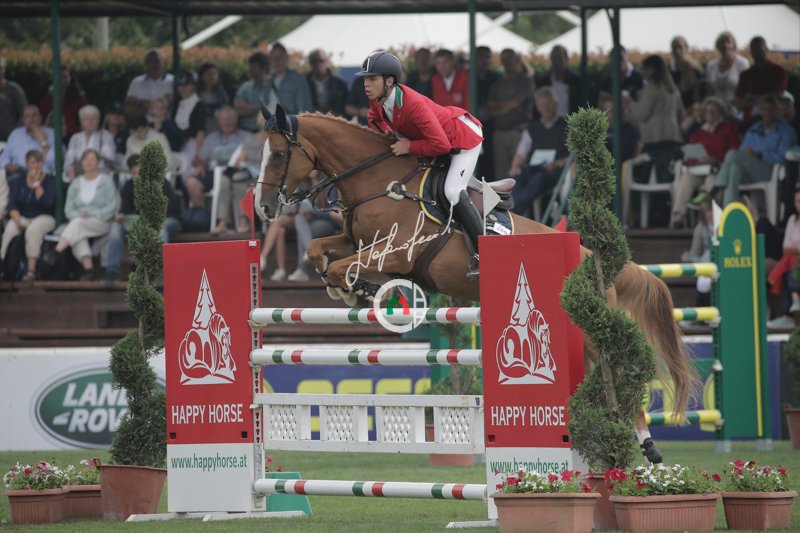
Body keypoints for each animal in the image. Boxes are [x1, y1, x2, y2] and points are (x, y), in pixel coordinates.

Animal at [255, 105, 696, 463]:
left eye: (278, 154)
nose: (263, 209)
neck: (377, 180)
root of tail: (597, 261)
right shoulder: (356, 240)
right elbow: (317, 251)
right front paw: (347, 288)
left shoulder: (397, 253)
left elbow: (343, 266)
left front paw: (361, 289)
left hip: (586, 328)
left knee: (618, 371)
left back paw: (647, 446)